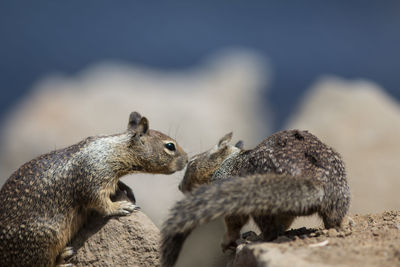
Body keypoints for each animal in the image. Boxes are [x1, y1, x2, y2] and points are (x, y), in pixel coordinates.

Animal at [0, 112, 188, 266]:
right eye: (170, 146)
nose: (187, 160)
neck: (114, 149)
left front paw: (125, 188)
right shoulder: (95, 181)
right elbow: (101, 204)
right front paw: (121, 206)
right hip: (45, 239)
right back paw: (62, 260)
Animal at [161, 130, 348, 267]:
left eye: (192, 162)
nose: (180, 187)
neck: (227, 161)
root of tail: (313, 181)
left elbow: (234, 221)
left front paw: (227, 241)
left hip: (262, 201)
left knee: (270, 231)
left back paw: (255, 238)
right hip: (338, 194)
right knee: (333, 219)